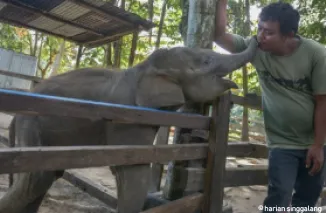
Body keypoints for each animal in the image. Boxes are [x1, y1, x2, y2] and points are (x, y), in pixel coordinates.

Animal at [1, 35, 258, 212]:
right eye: (206, 60)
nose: (256, 37)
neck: (144, 68)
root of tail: (14, 120)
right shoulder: (128, 117)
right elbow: (133, 168)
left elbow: (122, 170)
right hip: (32, 124)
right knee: (37, 178)